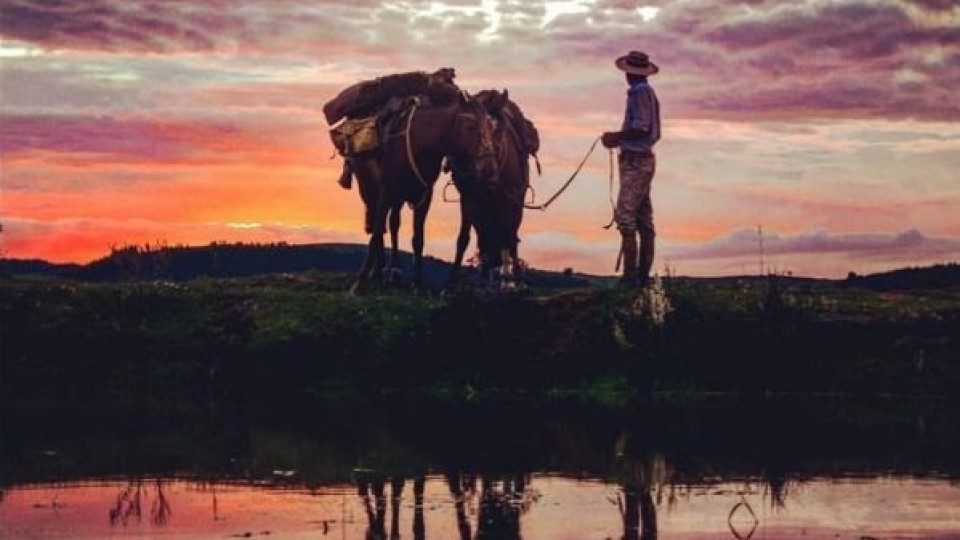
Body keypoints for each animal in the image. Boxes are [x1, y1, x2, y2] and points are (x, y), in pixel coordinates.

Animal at [352, 94, 502, 296]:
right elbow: (376, 234)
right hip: (370, 191)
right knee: (380, 226)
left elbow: (418, 239)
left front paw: (417, 282)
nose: (490, 171)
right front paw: (360, 282)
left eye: (491, 128)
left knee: (393, 224)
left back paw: (394, 273)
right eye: (469, 126)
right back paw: (378, 272)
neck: (420, 143)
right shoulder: (386, 191)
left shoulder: (424, 196)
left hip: (399, 199)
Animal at [448, 87, 532, 286]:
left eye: (499, 129)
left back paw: (513, 278)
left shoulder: (509, 200)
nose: (488, 170)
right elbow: (467, 239)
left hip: (516, 204)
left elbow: (507, 238)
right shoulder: (469, 199)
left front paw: (509, 282)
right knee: (486, 238)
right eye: (472, 129)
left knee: (511, 237)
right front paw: (453, 282)